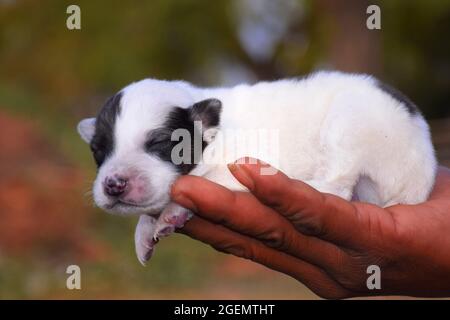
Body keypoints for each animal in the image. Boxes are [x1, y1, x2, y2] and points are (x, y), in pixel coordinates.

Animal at [76, 70, 436, 264]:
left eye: (160, 144)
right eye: (98, 152)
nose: (113, 184)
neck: (216, 134)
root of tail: (423, 172)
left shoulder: (238, 167)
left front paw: (170, 213)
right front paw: (145, 231)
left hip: (351, 124)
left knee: (339, 184)